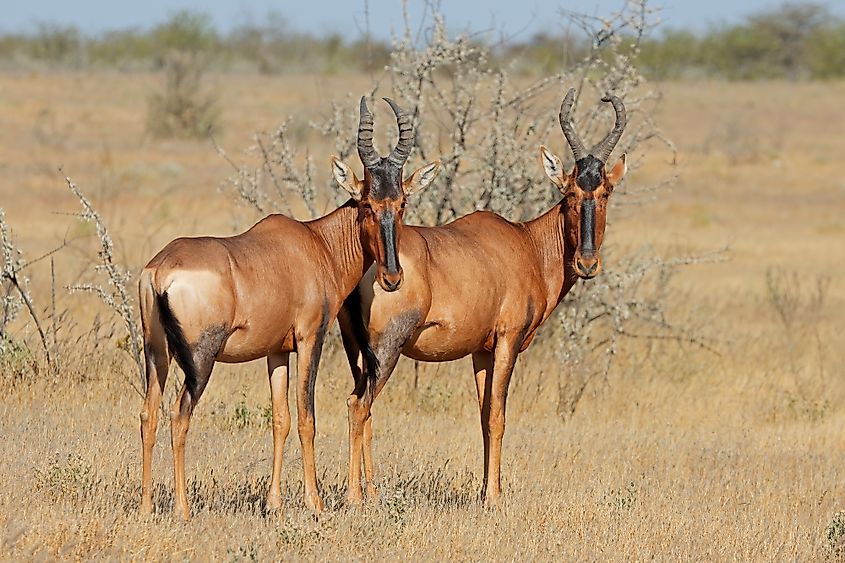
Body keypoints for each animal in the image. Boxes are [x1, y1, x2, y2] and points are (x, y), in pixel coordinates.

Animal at [138, 97, 442, 520]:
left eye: (401, 203)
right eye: (366, 202)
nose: (392, 277)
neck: (317, 242)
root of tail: (160, 269)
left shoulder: (276, 351)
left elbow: (280, 419)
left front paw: (274, 502)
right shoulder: (309, 338)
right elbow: (306, 417)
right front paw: (316, 503)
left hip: (156, 352)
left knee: (148, 414)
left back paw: (146, 506)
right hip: (200, 358)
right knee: (178, 416)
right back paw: (182, 508)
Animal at [342, 89, 628, 506]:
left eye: (604, 191)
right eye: (571, 191)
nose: (587, 263)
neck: (525, 243)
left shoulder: (481, 350)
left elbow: (481, 414)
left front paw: (482, 489)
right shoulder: (508, 340)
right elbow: (498, 414)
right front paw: (493, 496)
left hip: (361, 353)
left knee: (365, 407)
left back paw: (373, 491)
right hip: (387, 347)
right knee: (358, 405)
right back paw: (355, 496)